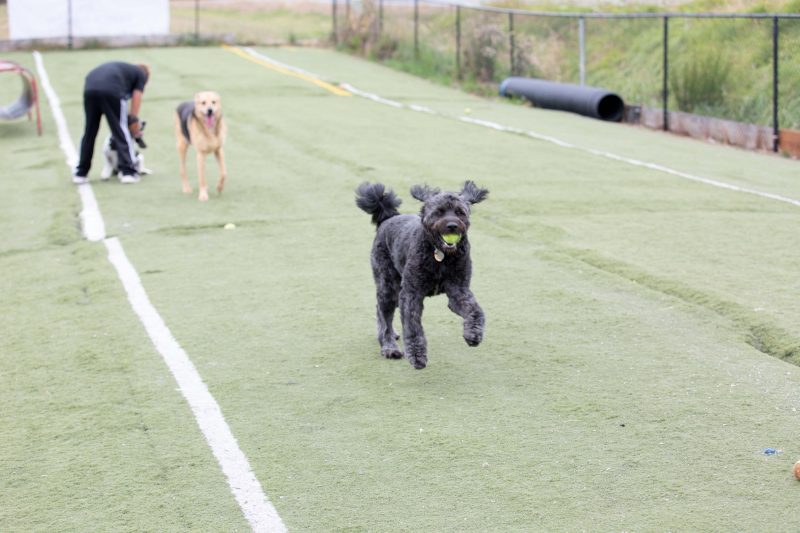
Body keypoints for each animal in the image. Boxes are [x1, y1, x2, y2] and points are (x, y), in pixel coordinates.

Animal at [356, 181, 488, 368]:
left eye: (460, 212)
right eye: (439, 212)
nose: (452, 226)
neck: (440, 255)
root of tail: (388, 217)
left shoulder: (459, 290)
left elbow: (475, 310)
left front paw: (473, 333)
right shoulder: (412, 294)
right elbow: (412, 326)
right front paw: (417, 355)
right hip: (387, 285)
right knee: (384, 312)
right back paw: (389, 347)